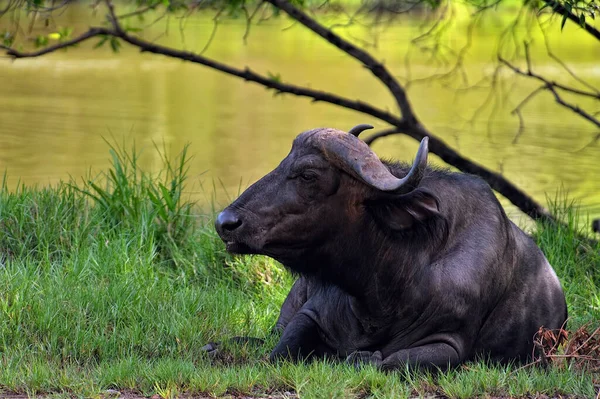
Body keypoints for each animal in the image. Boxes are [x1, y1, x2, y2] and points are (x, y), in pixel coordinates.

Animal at [214, 126, 568, 372]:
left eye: (308, 174)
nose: (225, 222)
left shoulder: (447, 344)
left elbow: (390, 361)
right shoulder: (308, 315)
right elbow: (281, 349)